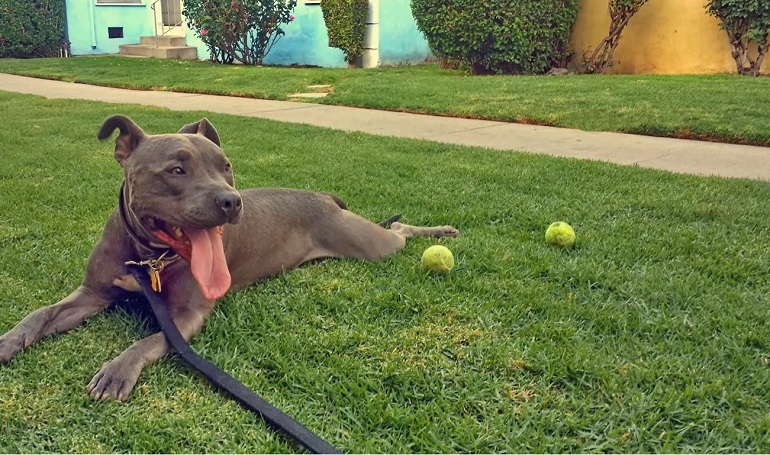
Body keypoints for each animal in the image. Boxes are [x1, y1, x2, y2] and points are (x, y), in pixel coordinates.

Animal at [0, 115, 456, 402]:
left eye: (226, 166)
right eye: (176, 170)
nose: (231, 200)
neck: (148, 258)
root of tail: (324, 197)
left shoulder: (186, 317)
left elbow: (148, 340)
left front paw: (118, 369)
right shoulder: (92, 294)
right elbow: (40, 314)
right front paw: (9, 339)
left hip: (371, 245)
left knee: (399, 231)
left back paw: (441, 233)